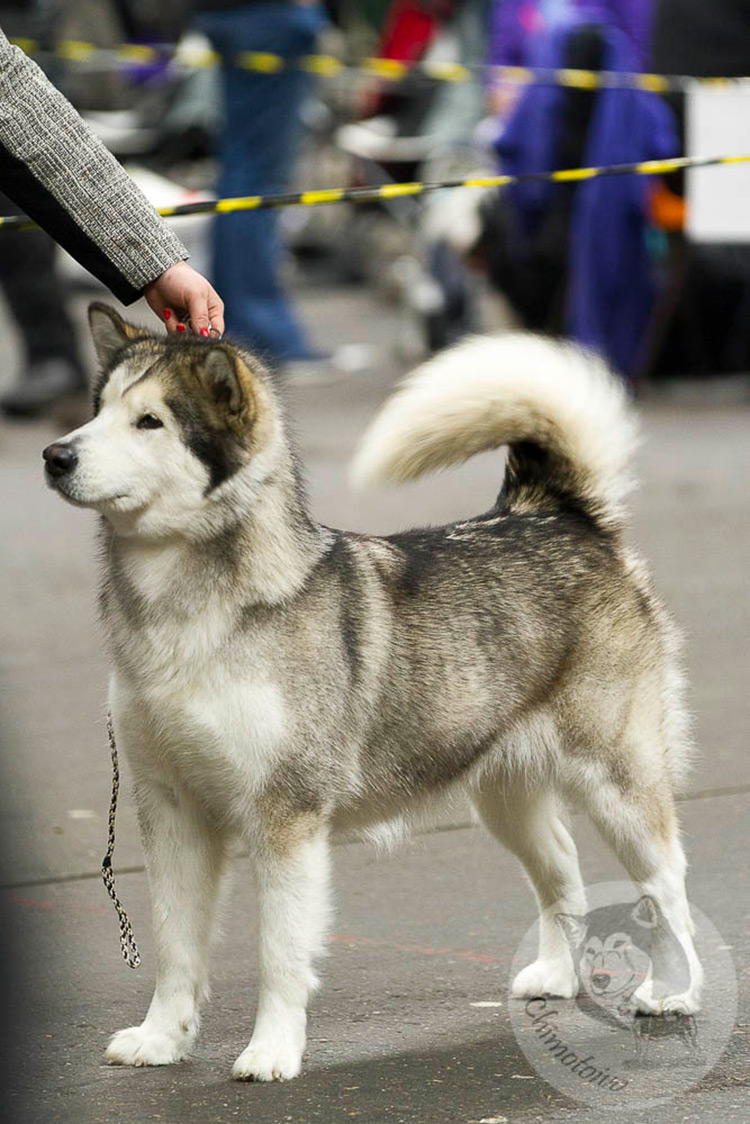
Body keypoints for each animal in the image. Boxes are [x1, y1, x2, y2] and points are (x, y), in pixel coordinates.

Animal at [42, 305, 703, 1081]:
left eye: (149, 421)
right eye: (97, 410)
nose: (55, 455)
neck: (189, 619)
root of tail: (553, 515)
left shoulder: (286, 818)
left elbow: (278, 953)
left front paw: (271, 1051)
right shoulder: (170, 810)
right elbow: (175, 947)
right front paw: (162, 1039)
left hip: (616, 784)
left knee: (667, 882)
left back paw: (673, 990)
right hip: (503, 795)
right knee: (562, 870)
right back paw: (558, 976)